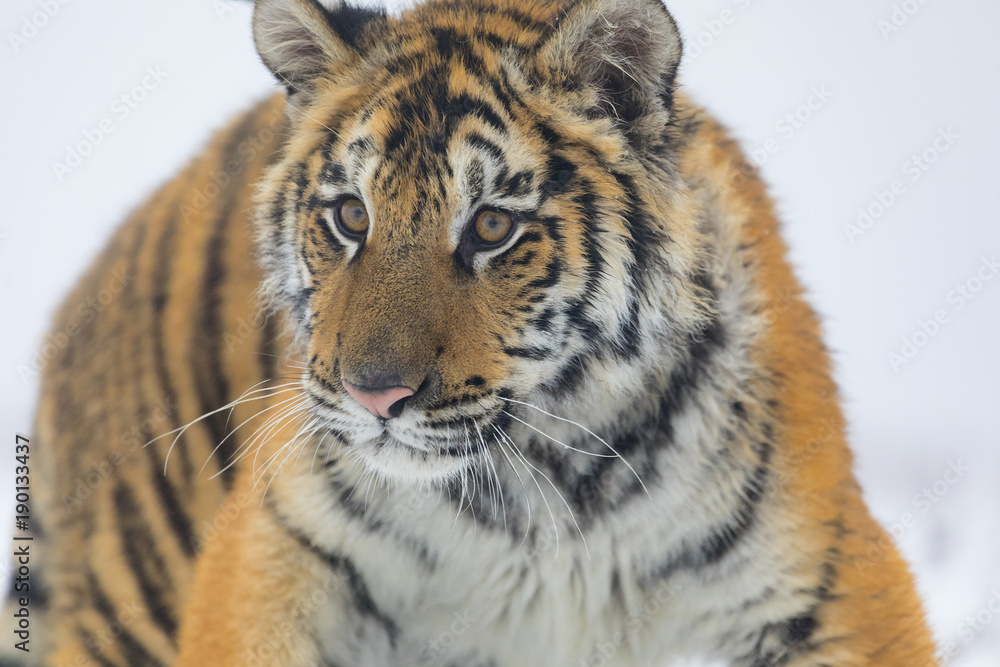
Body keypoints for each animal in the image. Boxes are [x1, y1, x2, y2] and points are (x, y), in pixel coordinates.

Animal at [22, 0, 938, 664]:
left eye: (492, 226)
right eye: (351, 215)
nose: (373, 394)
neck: (550, 491)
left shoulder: (830, 585)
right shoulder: (270, 563)